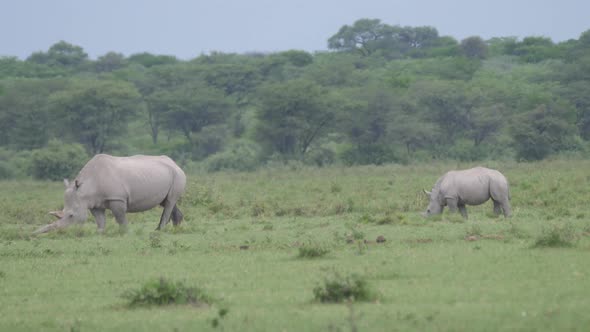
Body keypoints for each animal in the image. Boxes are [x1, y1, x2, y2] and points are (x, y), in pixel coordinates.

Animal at [33, 154, 185, 235]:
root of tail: (175, 163)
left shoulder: (117, 198)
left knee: (169, 202)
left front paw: (124, 232)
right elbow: (100, 219)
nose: (62, 232)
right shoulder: (94, 203)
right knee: (166, 202)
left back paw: (159, 230)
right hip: (167, 175)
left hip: (177, 175)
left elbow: (120, 217)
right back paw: (176, 228)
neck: (85, 189)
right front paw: (100, 233)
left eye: (71, 215)